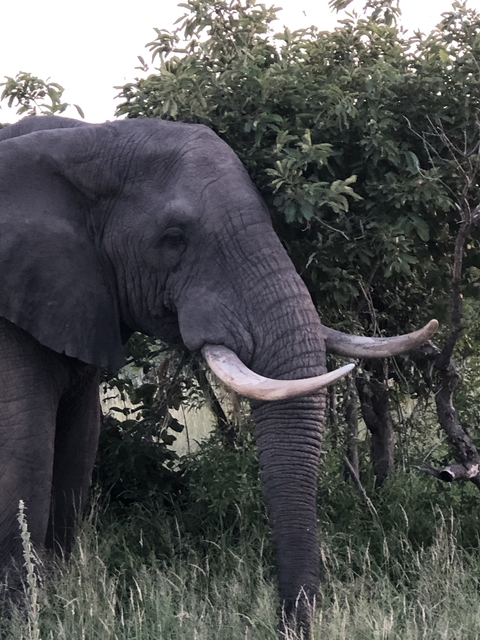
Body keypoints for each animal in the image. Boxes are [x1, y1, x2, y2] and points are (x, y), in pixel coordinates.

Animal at [0, 115, 437, 634]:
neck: (82, 141)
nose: (286, 626)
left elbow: (77, 445)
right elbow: (24, 452)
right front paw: (25, 620)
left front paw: (58, 605)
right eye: (173, 238)